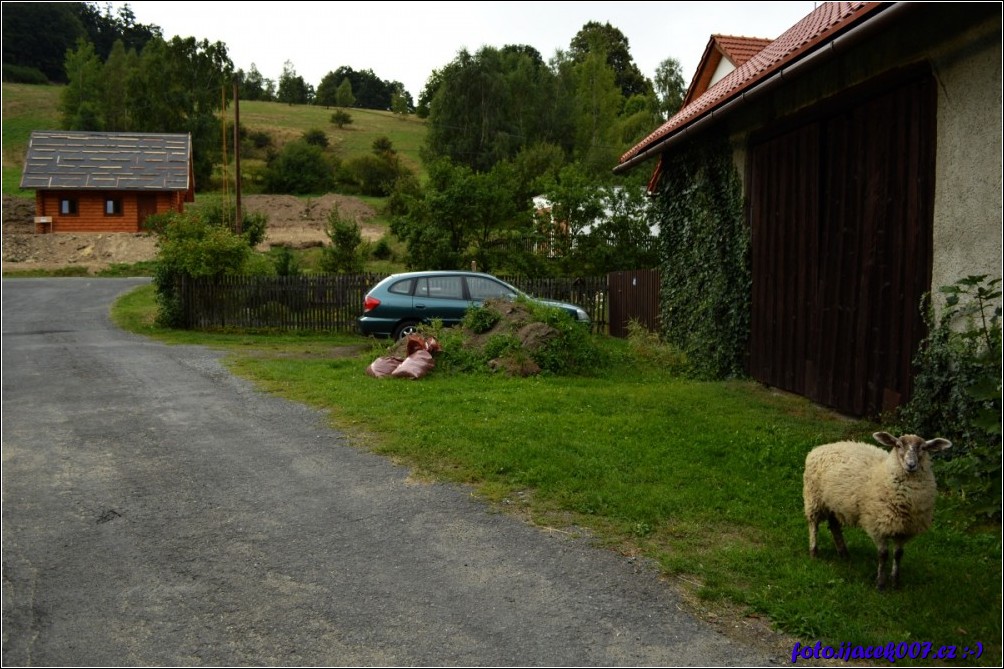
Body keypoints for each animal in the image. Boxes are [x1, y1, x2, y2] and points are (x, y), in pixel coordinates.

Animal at [803, 429, 951, 586]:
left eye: (923, 448)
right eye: (898, 445)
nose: (911, 464)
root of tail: (821, 447)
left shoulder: (904, 529)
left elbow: (898, 555)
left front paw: (895, 581)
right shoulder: (877, 525)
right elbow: (883, 554)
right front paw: (880, 582)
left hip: (833, 503)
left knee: (834, 526)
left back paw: (844, 553)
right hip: (814, 498)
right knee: (814, 525)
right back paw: (814, 552)